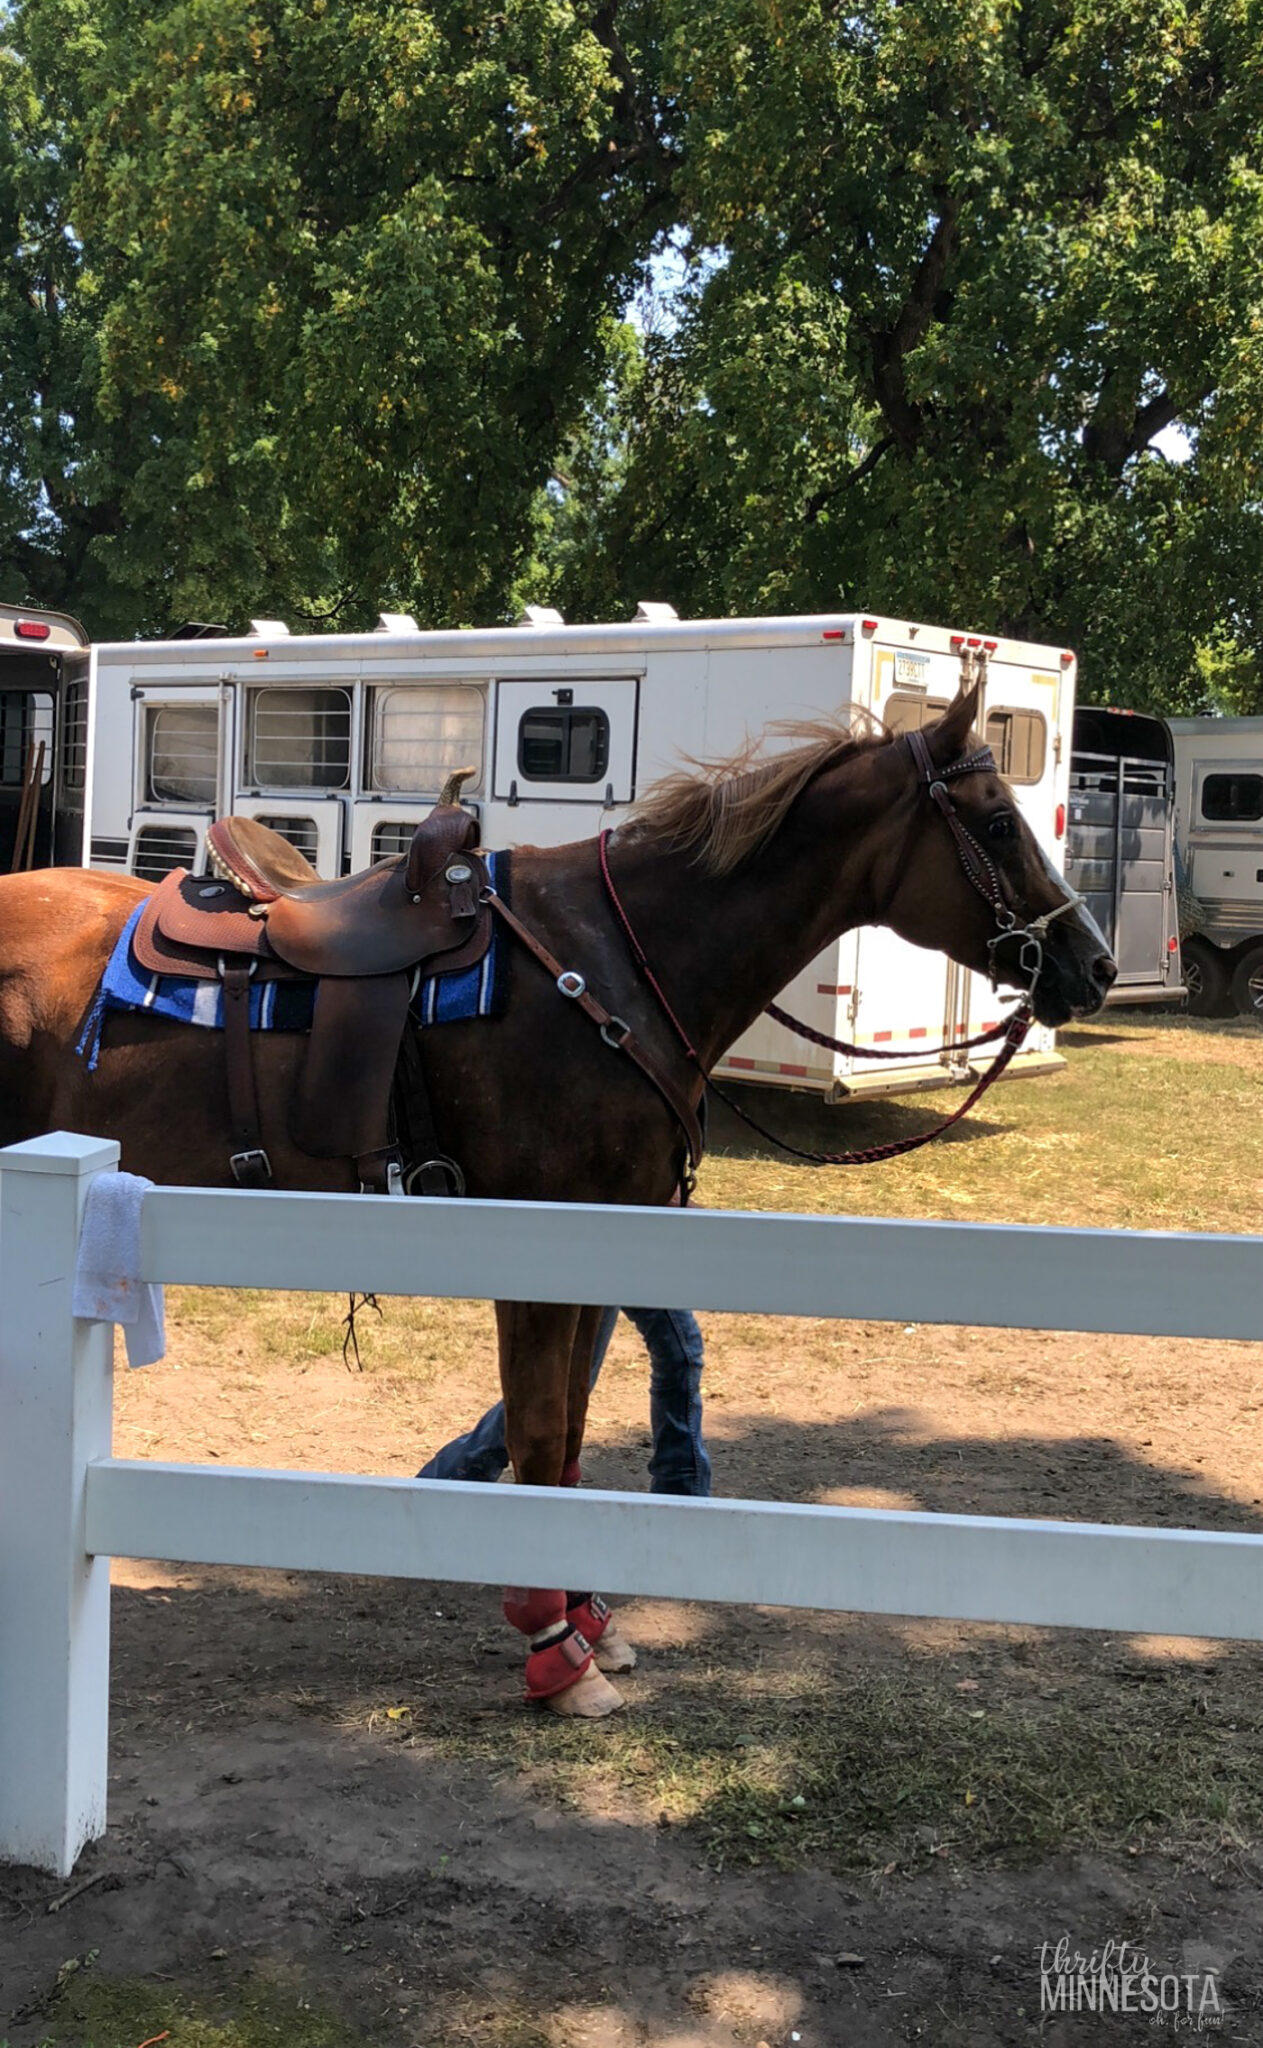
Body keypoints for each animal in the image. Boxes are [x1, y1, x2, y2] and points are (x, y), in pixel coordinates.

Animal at [0, 684, 1105, 1712]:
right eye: (996, 823)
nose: (1091, 966)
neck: (617, 963)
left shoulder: (603, 1245)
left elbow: (568, 1441)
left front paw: (588, 1619)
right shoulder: (533, 1253)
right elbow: (537, 1441)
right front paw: (551, 1647)